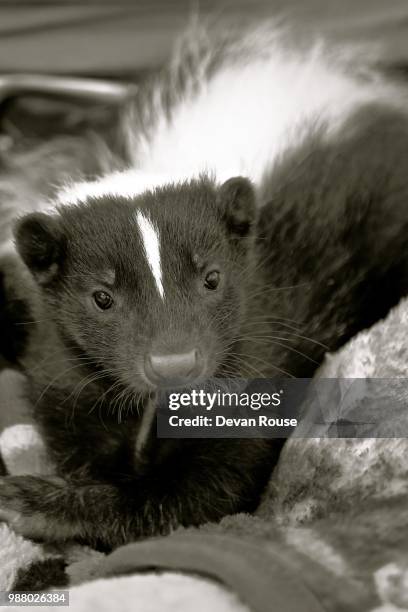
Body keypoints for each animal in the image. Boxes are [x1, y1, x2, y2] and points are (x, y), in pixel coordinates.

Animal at [0, 26, 408, 548]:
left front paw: (31, 502)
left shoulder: (259, 348)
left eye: (212, 278)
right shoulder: (65, 371)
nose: (174, 362)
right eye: (102, 297)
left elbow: (198, 497)